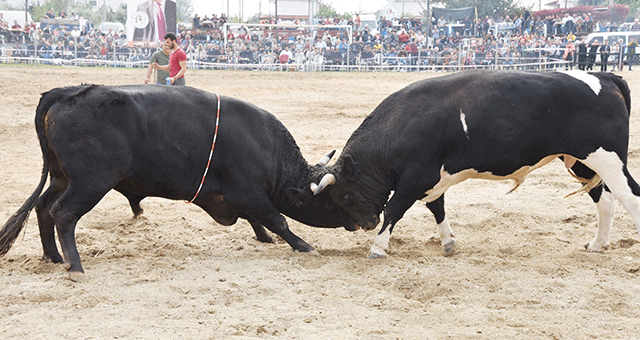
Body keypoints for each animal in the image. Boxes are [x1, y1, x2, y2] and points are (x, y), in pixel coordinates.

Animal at [0, 83, 356, 280]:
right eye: (333, 199)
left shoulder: (239, 198)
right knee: (63, 213)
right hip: (90, 182)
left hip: (62, 177)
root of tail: (65, 93)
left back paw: (53, 257)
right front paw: (304, 246)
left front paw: (266, 240)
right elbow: (277, 219)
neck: (267, 146)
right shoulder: (247, 192)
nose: (359, 221)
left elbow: (259, 221)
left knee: (43, 207)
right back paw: (75, 266)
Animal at [312, 70, 636, 258]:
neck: (403, 121)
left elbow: (395, 209)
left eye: (345, 196)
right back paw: (597, 244)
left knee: (631, 197)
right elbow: (437, 208)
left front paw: (378, 248)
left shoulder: (417, 177)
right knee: (605, 200)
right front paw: (448, 243)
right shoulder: (432, 180)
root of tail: (605, 77)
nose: (363, 224)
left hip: (607, 159)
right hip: (584, 162)